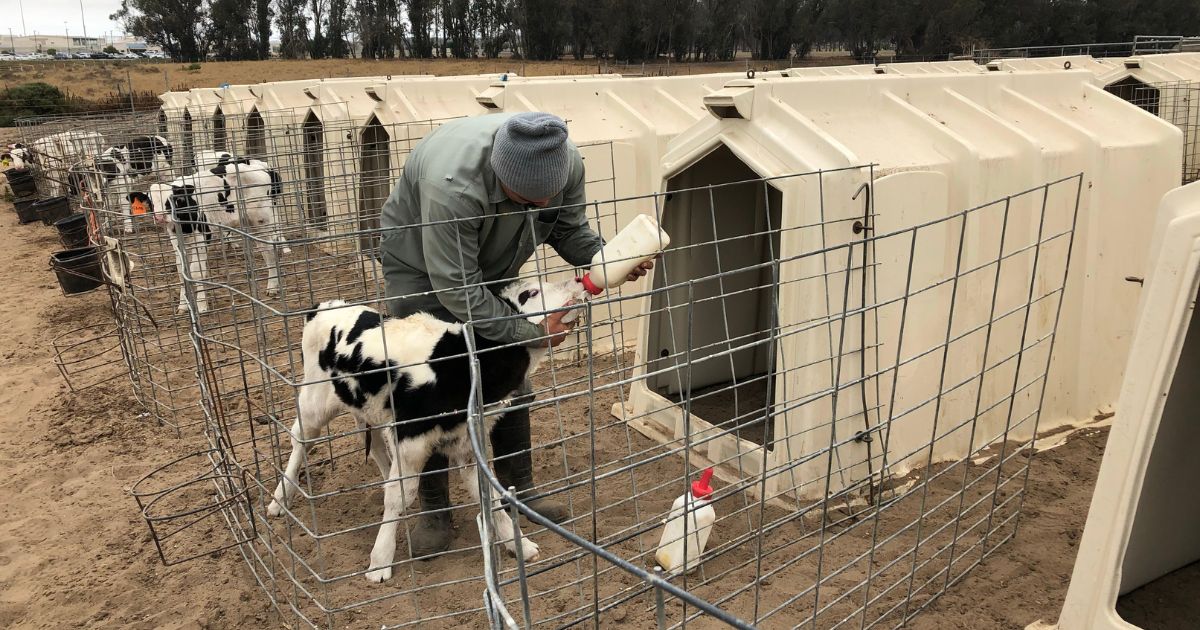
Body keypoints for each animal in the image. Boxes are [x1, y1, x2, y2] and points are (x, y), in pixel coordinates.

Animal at [130, 157, 288, 312]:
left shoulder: (203, 235)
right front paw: (183, 305)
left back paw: (272, 287)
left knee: (270, 250)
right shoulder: (175, 237)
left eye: (173, 200)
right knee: (265, 251)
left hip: (264, 221)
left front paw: (201, 305)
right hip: (253, 224)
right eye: (150, 201)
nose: (159, 217)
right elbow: (181, 271)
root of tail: (262, 165)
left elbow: (196, 272)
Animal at [270, 277, 592, 583]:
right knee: (300, 439)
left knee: (372, 441)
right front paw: (380, 562)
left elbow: (488, 493)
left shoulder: (467, 440)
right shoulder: (410, 436)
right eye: (530, 293)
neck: (461, 364)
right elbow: (400, 495)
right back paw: (279, 500)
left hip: (366, 405)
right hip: (315, 400)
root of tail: (325, 306)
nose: (579, 281)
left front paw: (520, 546)